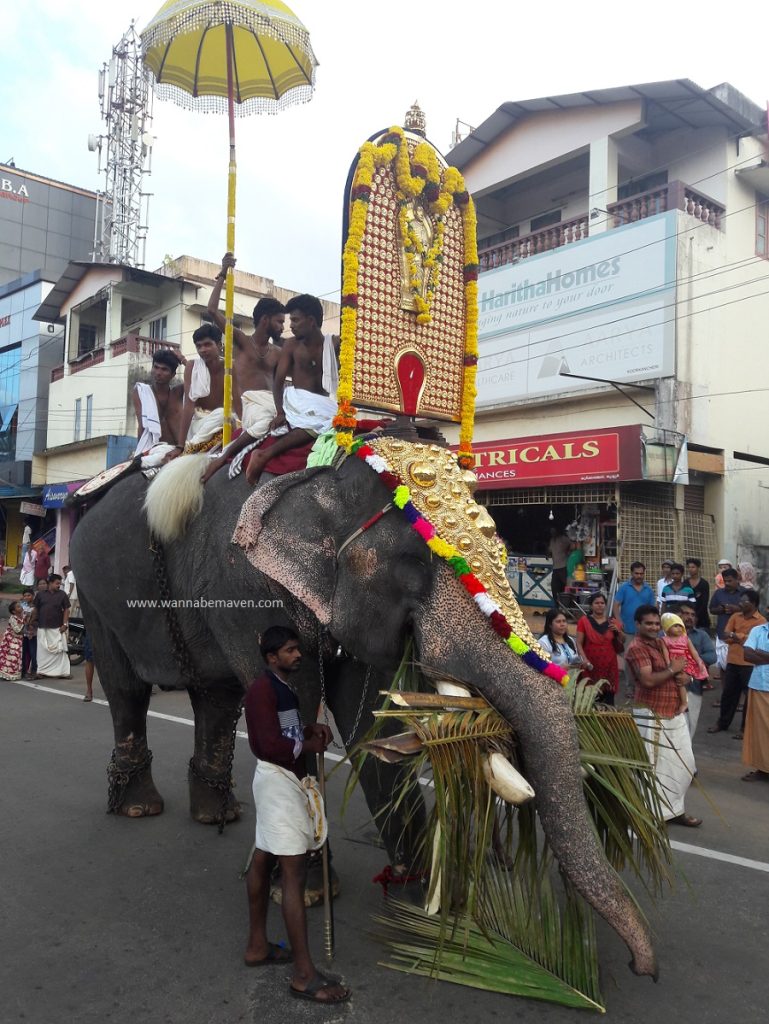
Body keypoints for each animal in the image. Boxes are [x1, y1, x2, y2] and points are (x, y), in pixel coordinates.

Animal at [70, 428, 655, 978]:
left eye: (504, 555)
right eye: (415, 562)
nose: (639, 967)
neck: (320, 475)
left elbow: (369, 719)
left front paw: (421, 898)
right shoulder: (242, 584)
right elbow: (291, 709)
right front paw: (306, 891)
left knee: (216, 695)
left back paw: (218, 813)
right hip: (95, 596)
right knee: (127, 688)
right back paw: (140, 806)